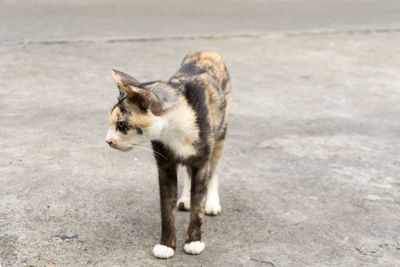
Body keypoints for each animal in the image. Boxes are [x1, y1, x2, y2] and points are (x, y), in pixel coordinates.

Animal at [105, 50, 231, 260]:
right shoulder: (165, 166)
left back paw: (212, 202)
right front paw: (166, 245)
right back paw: (186, 199)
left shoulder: (202, 161)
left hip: (220, 133)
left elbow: (199, 202)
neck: (175, 129)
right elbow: (166, 207)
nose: (107, 140)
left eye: (122, 125)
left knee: (213, 169)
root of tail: (207, 52)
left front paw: (193, 241)